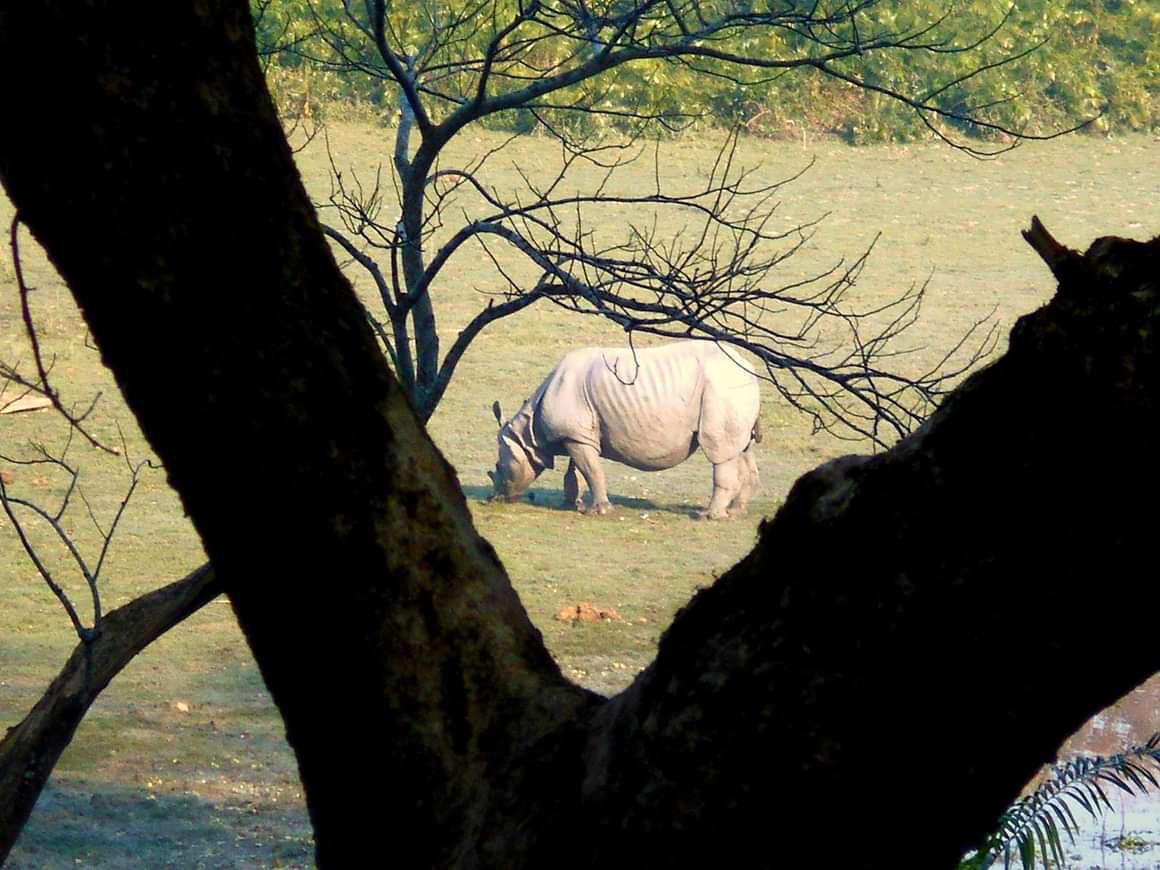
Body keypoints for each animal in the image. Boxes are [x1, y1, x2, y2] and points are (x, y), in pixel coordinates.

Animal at [488, 341, 761, 519]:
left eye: (499, 467)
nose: (496, 500)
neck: (528, 434)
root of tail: (751, 371)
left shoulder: (574, 435)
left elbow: (592, 471)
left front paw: (597, 511)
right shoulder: (576, 435)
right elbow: (577, 472)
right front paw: (572, 505)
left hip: (722, 389)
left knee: (719, 452)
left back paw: (708, 516)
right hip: (733, 391)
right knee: (742, 449)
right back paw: (736, 512)